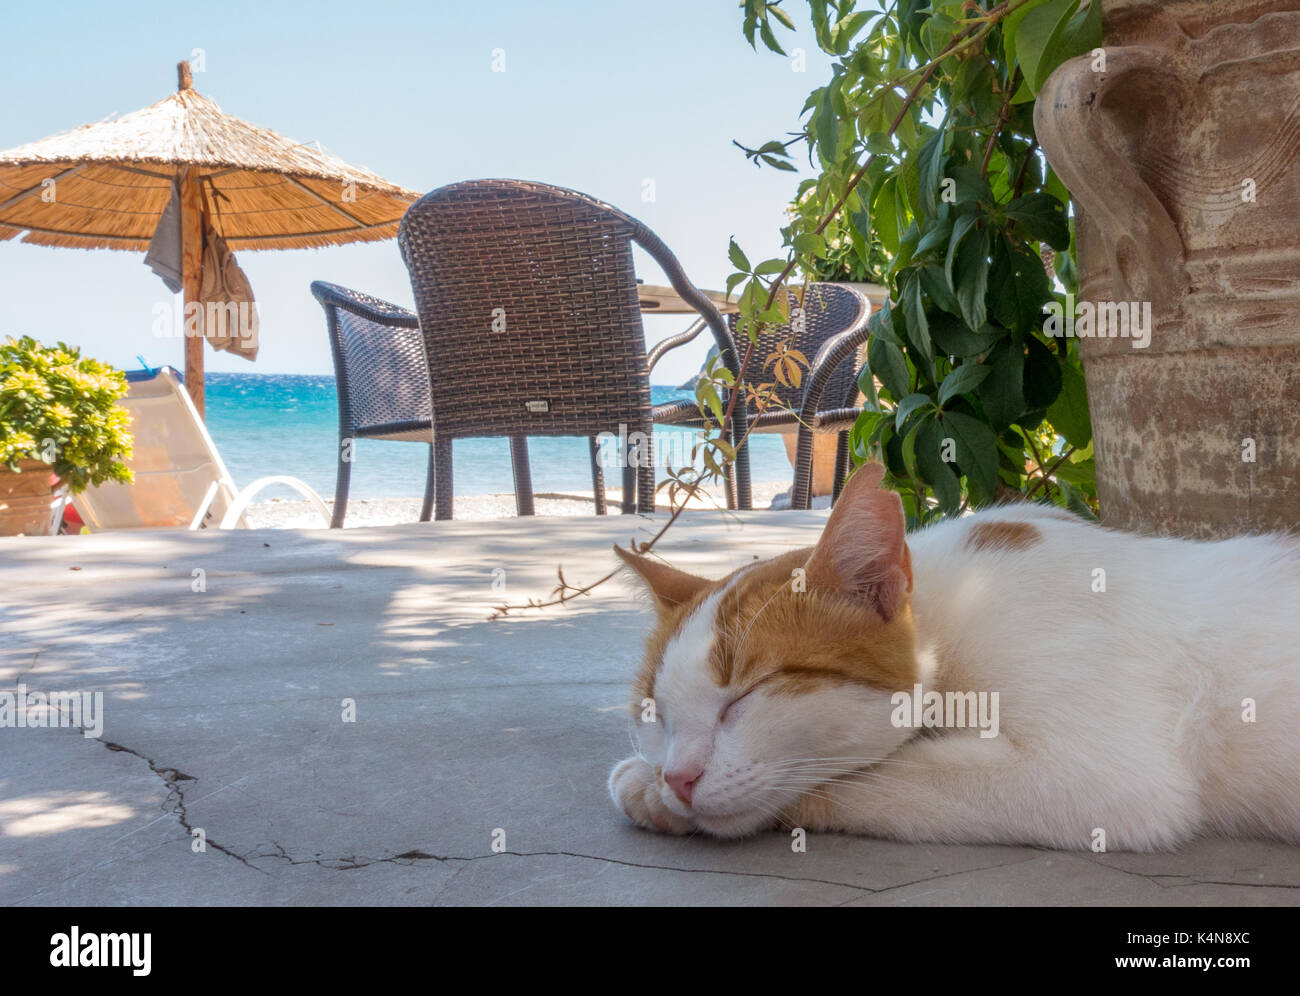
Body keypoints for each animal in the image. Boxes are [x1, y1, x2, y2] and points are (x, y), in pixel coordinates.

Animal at [608, 462, 1300, 852]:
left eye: (747, 695)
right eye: (654, 714)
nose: (679, 777)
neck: (948, 611)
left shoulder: (1107, 781)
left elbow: (874, 774)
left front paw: (649, 789)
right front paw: (654, 783)